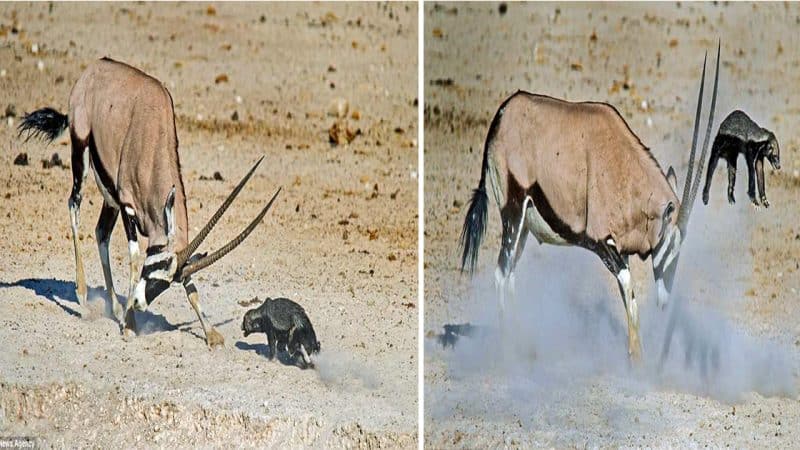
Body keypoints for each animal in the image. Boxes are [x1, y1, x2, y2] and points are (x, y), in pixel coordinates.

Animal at [18, 58, 282, 346]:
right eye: (154, 266)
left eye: (168, 280)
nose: (138, 303)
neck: (153, 141)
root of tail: (94, 68)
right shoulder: (128, 207)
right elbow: (134, 258)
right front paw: (130, 324)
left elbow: (189, 281)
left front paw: (211, 334)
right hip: (82, 153)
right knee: (73, 206)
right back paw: (84, 297)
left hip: (109, 195)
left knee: (101, 232)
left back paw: (115, 307)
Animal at [460, 47, 720, 360]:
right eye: (671, 246)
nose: (665, 302)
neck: (624, 171)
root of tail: (502, 113)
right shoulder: (602, 243)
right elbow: (629, 291)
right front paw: (637, 359)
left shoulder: (621, 250)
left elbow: (628, 296)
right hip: (513, 212)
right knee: (501, 275)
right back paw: (510, 350)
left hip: (523, 226)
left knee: (510, 275)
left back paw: (526, 346)